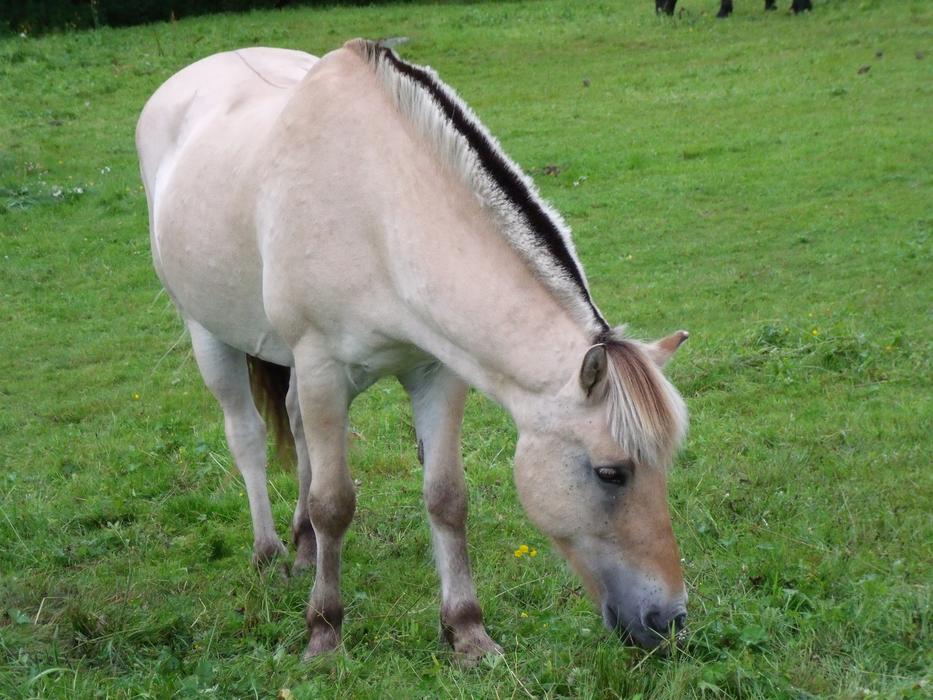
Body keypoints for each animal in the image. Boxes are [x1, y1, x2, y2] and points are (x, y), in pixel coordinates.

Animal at [136, 39, 691, 662]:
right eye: (610, 473)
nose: (669, 620)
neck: (378, 211)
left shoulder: (437, 372)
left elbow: (446, 498)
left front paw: (468, 632)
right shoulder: (323, 368)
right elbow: (335, 502)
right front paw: (324, 632)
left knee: (298, 432)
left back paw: (304, 550)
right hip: (210, 335)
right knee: (249, 438)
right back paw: (270, 553)